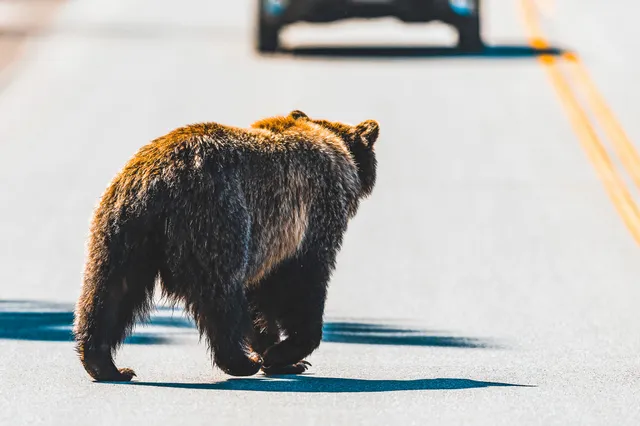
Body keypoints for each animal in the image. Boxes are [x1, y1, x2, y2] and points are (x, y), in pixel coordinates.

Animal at [72, 110, 380, 382]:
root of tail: (158, 183)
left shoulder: (268, 240)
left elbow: (260, 297)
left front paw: (278, 355)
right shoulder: (310, 219)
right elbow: (303, 282)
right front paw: (283, 353)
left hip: (121, 230)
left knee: (108, 292)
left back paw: (105, 365)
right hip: (217, 215)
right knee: (221, 294)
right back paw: (241, 361)